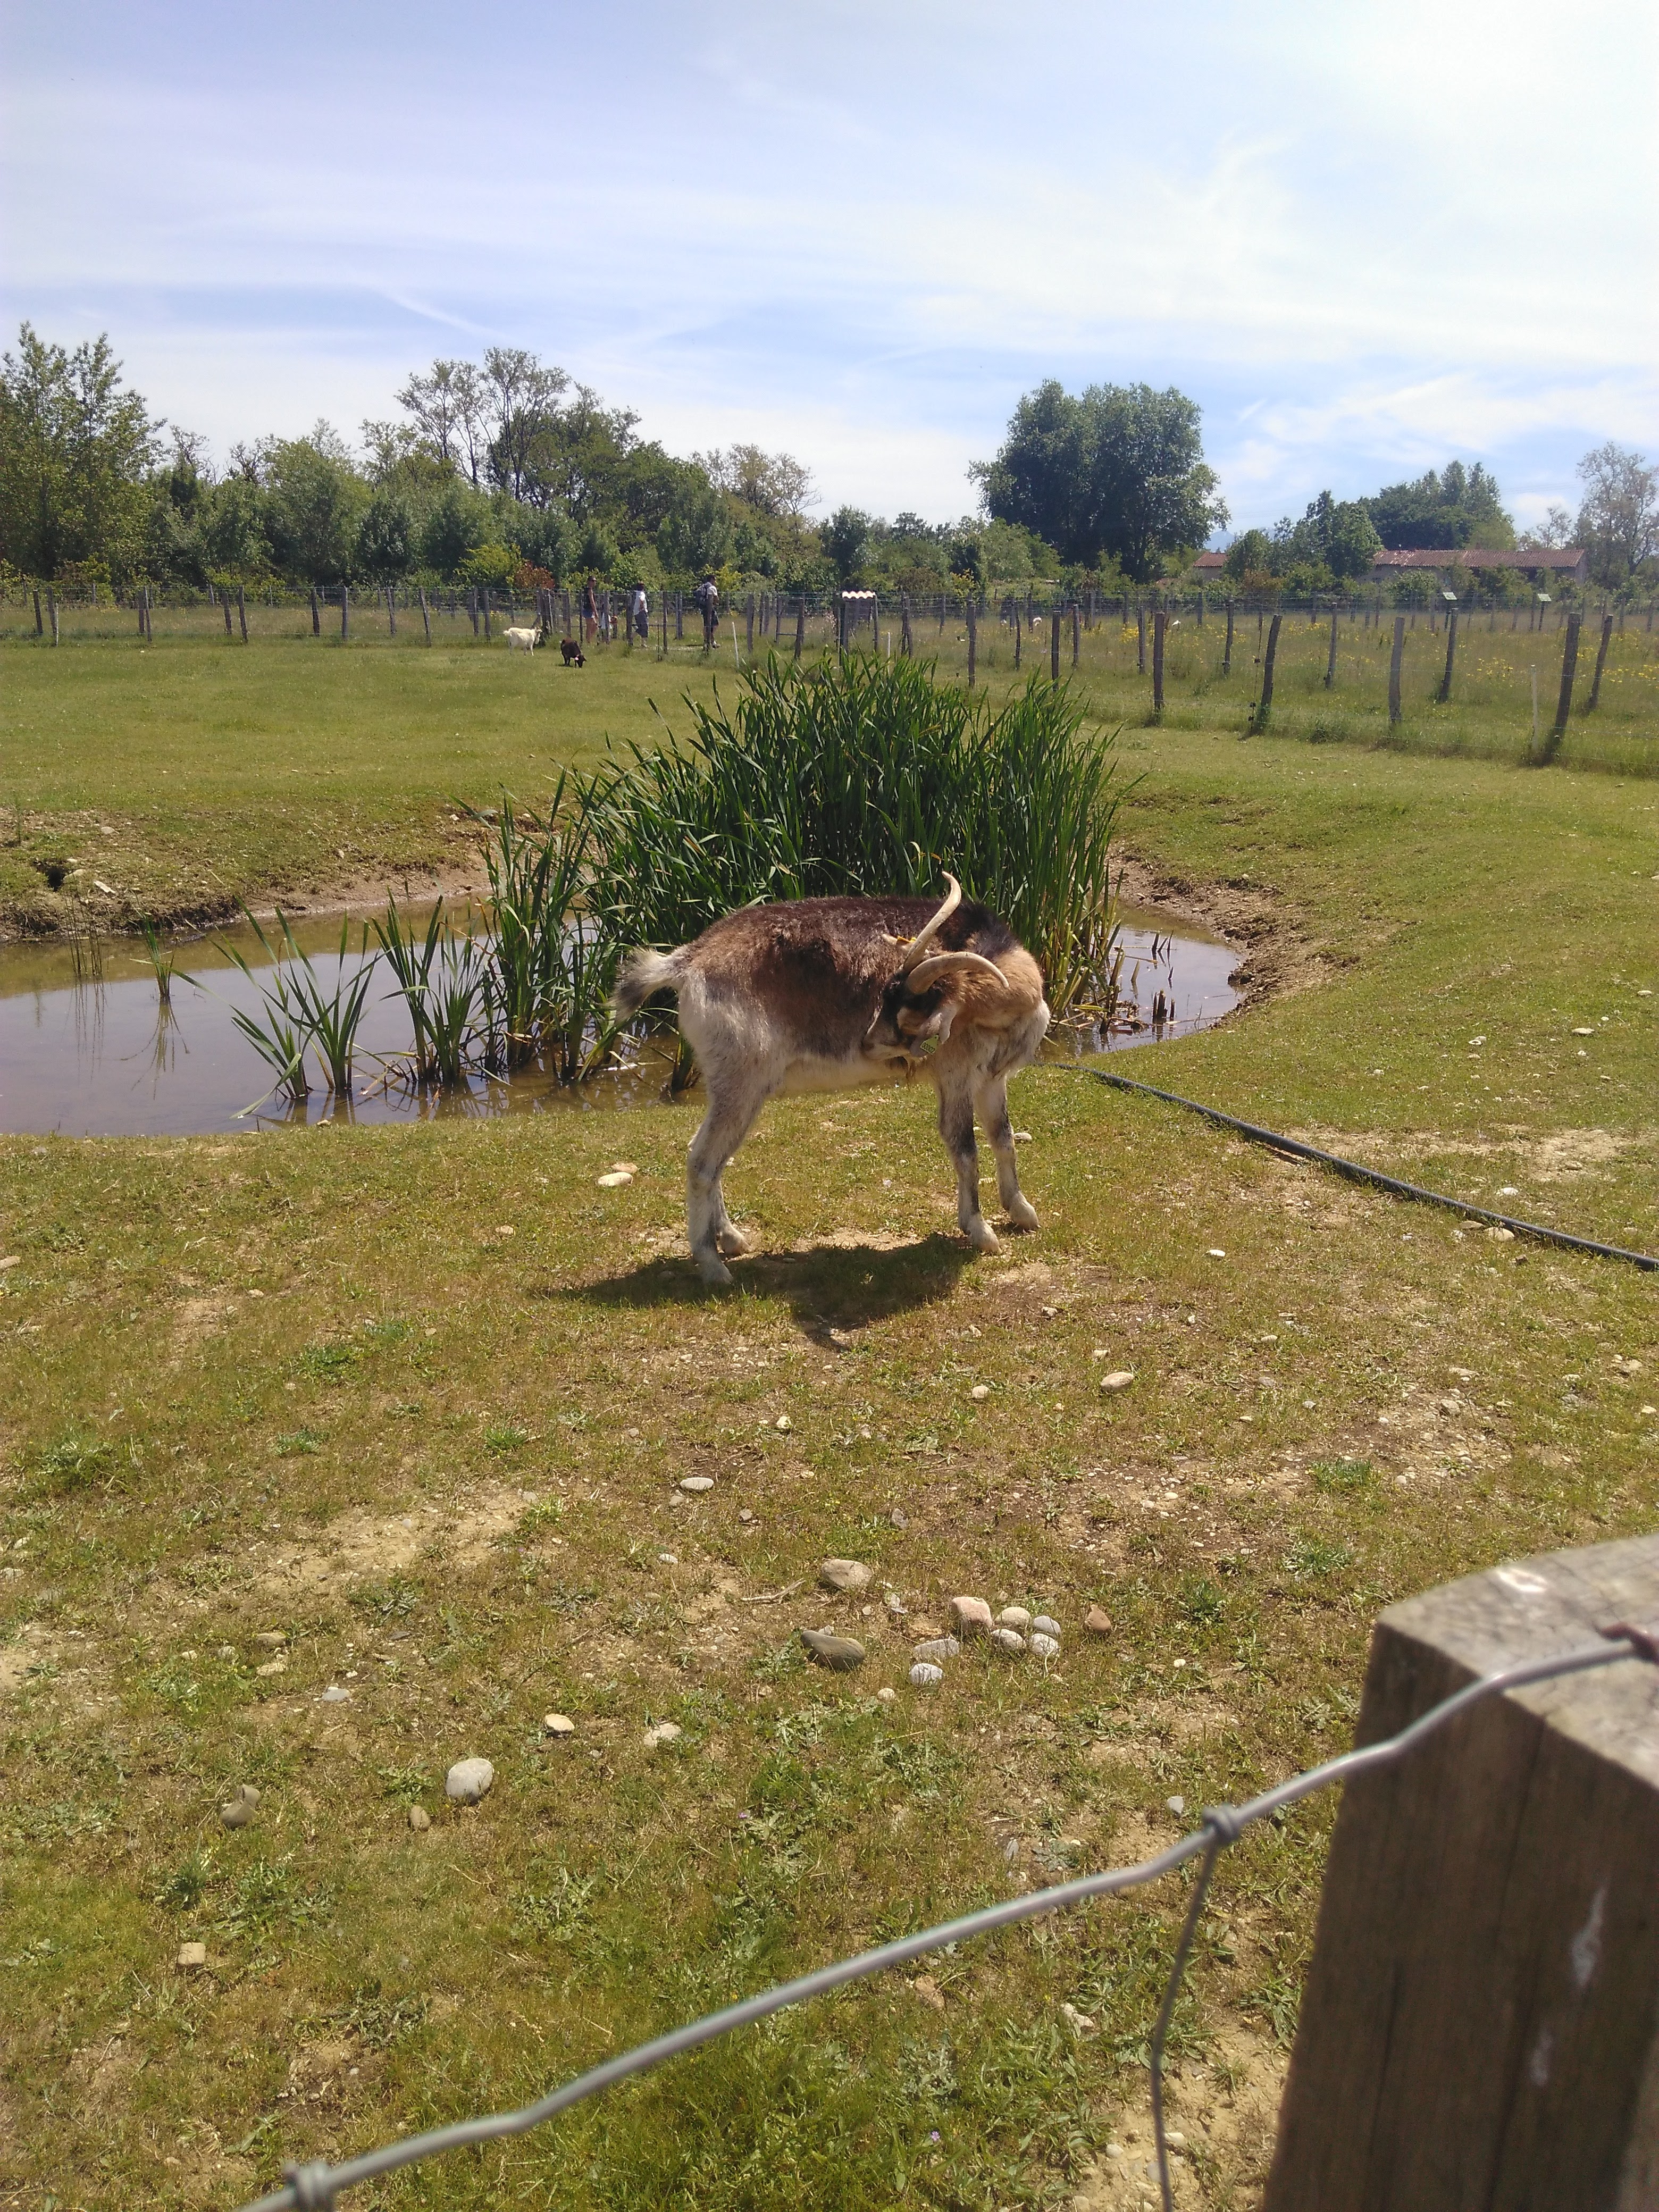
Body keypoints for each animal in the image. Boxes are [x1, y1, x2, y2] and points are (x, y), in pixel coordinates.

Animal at [612, 876, 1049, 1284]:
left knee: (707, 1155)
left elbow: (1004, 1137)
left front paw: (1022, 1211)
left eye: (908, 1019)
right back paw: (712, 1265)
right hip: (741, 1081)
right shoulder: (956, 1074)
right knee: (703, 1161)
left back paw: (732, 1239)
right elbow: (965, 1149)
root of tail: (688, 960)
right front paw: (981, 1231)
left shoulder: (991, 1077)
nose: (866, 1045)